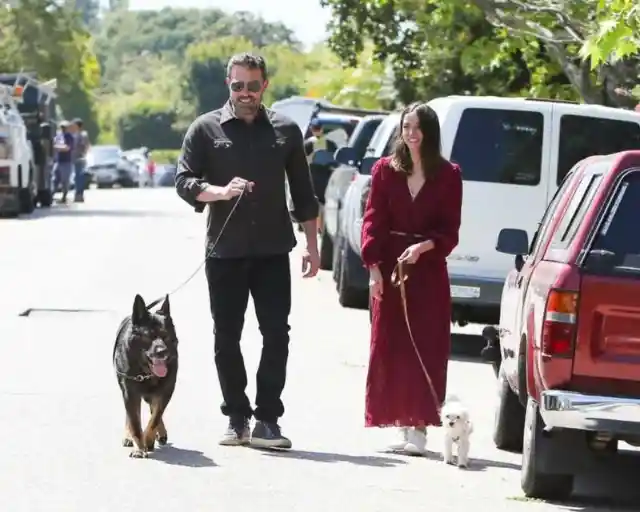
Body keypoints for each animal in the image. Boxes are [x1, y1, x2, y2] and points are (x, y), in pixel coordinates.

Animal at [114, 294, 179, 458]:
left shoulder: (166, 392)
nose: (162, 352)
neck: (146, 372)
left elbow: (155, 418)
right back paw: (128, 435)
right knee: (131, 415)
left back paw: (159, 433)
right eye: (149, 337)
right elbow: (135, 422)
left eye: (165, 336)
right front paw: (139, 447)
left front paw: (148, 439)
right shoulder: (130, 393)